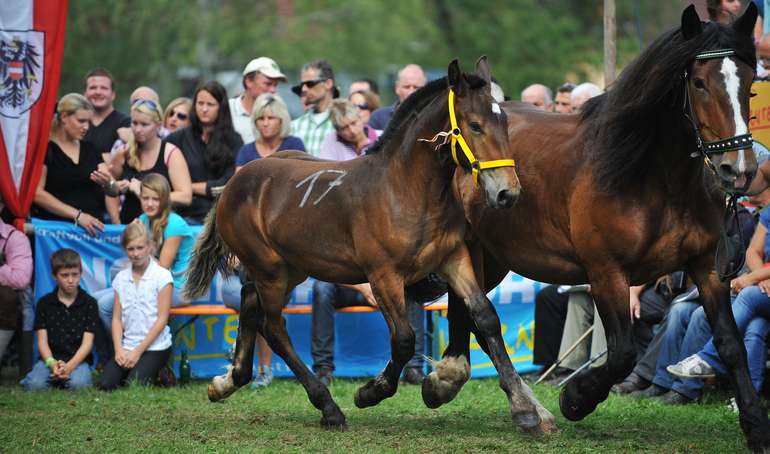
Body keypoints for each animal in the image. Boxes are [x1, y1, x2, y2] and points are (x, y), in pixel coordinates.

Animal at [183, 59, 536, 430]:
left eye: (504, 122)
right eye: (475, 125)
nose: (507, 193)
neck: (408, 190)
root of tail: (233, 183)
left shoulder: (453, 259)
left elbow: (485, 316)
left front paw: (525, 410)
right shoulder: (384, 277)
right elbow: (404, 340)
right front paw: (369, 392)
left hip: (289, 268)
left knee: (251, 305)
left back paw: (228, 381)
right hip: (270, 269)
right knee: (274, 328)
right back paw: (328, 407)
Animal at [420, 3, 768, 450]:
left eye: (750, 84)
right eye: (699, 83)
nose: (737, 170)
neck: (651, 177)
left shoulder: (706, 268)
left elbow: (730, 344)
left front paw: (756, 426)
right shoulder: (607, 274)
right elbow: (621, 353)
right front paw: (575, 397)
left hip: (492, 256)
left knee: (468, 309)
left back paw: (454, 384)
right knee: (473, 312)